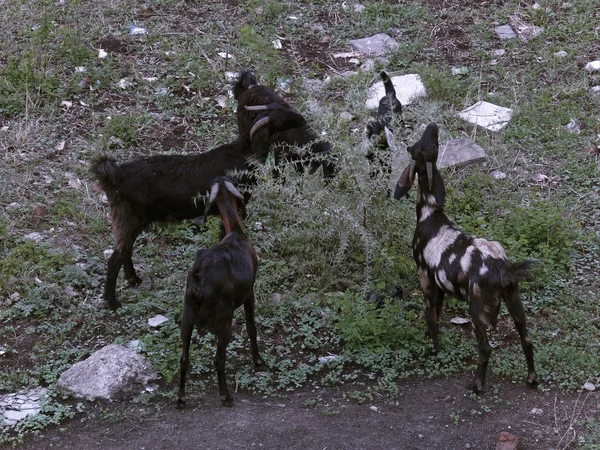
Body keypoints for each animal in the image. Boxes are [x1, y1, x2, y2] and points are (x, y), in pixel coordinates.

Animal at [91, 107, 308, 312]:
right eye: (278, 119)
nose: (302, 120)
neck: (243, 154)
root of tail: (114, 176)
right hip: (129, 217)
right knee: (115, 258)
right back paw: (112, 302)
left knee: (124, 251)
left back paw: (134, 280)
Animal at [177, 177, 264, 408]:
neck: (235, 232)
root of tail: (199, 279)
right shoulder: (249, 293)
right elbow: (251, 328)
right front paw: (258, 360)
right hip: (224, 318)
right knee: (218, 358)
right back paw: (226, 395)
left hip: (187, 317)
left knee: (183, 357)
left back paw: (181, 397)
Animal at [394, 123, 540, 394]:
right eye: (429, 145)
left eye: (415, 148)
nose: (433, 125)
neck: (431, 212)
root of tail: (502, 268)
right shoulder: (440, 283)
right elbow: (438, 311)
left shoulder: (424, 274)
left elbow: (430, 315)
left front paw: (435, 349)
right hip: (514, 297)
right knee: (526, 338)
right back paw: (532, 379)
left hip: (477, 306)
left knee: (485, 347)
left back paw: (477, 385)